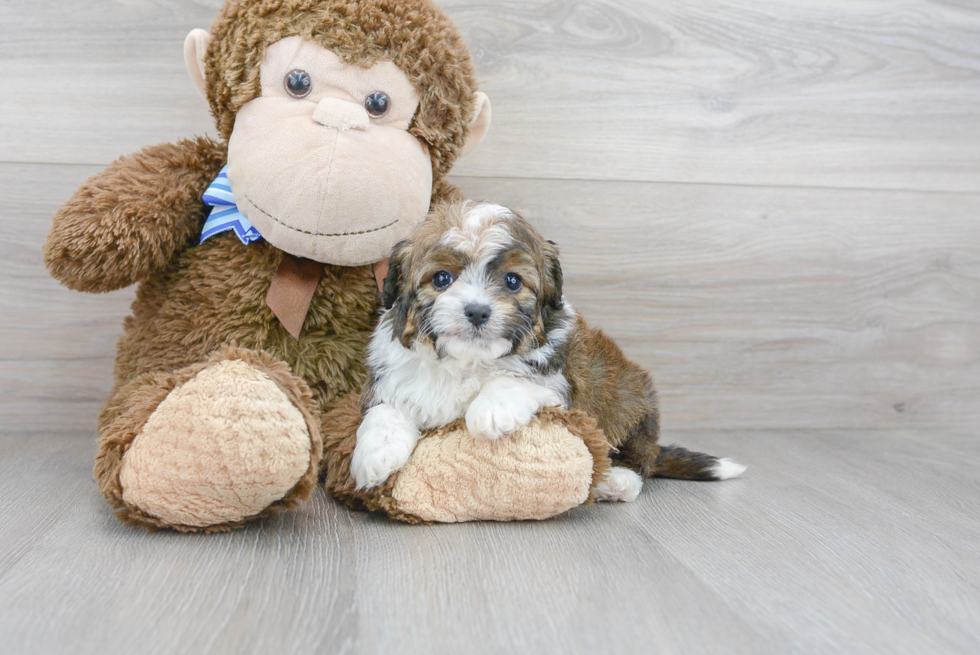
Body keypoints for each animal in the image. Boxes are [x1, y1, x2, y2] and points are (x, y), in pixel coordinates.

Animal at [352, 200, 744, 498]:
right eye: (442, 279)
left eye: (512, 281)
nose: (477, 311)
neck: (467, 361)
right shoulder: (392, 378)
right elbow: (386, 409)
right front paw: (375, 453)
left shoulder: (561, 385)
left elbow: (518, 380)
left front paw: (490, 410)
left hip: (627, 397)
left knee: (636, 461)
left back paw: (616, 481)